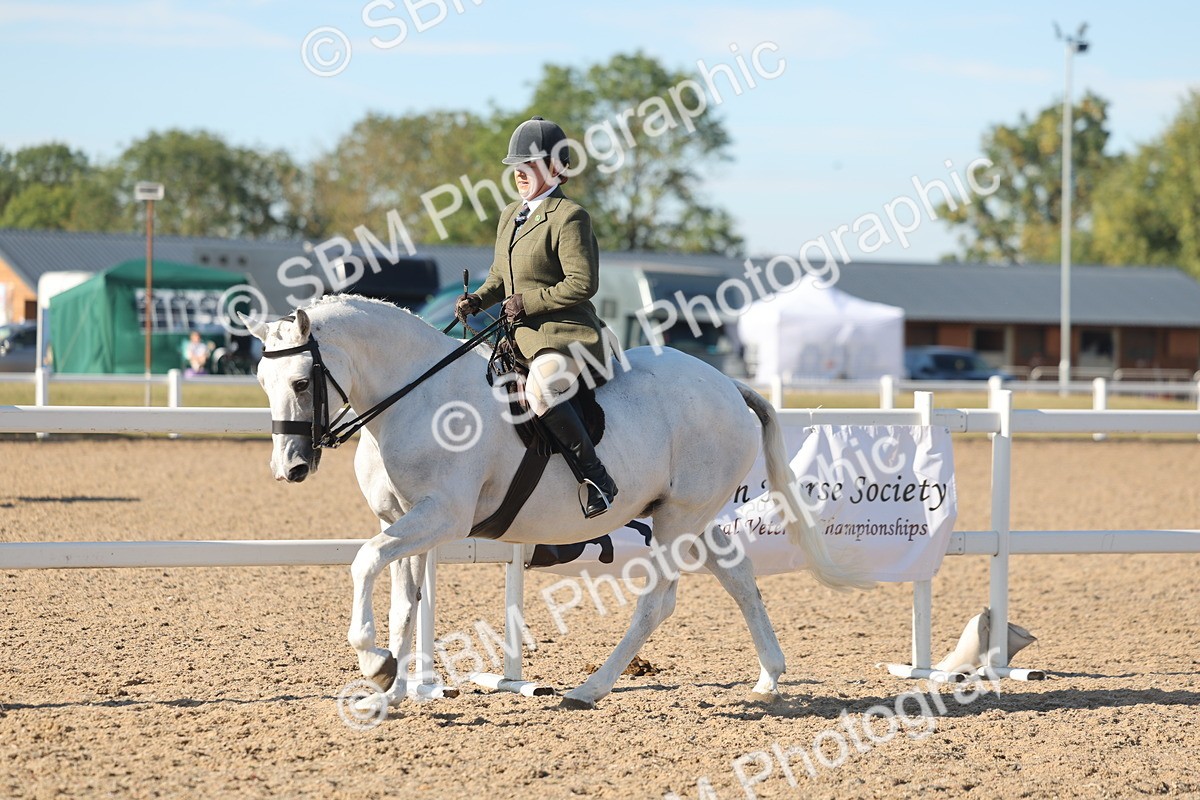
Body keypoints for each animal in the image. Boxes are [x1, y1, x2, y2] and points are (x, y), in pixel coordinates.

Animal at [244, 294, 870, 710]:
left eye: (302, 382)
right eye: (262, 382)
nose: (289, 468)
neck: (415, 399)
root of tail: (726, 384)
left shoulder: (440, 518)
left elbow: (364, 560)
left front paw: (374, 664)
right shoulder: (399, 518)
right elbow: (401, 599)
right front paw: (387, 688)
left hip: (677, 520)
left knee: (656, 604)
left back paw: (589, 689)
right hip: (689, 514)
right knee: (738, 577)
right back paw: (769, 677)